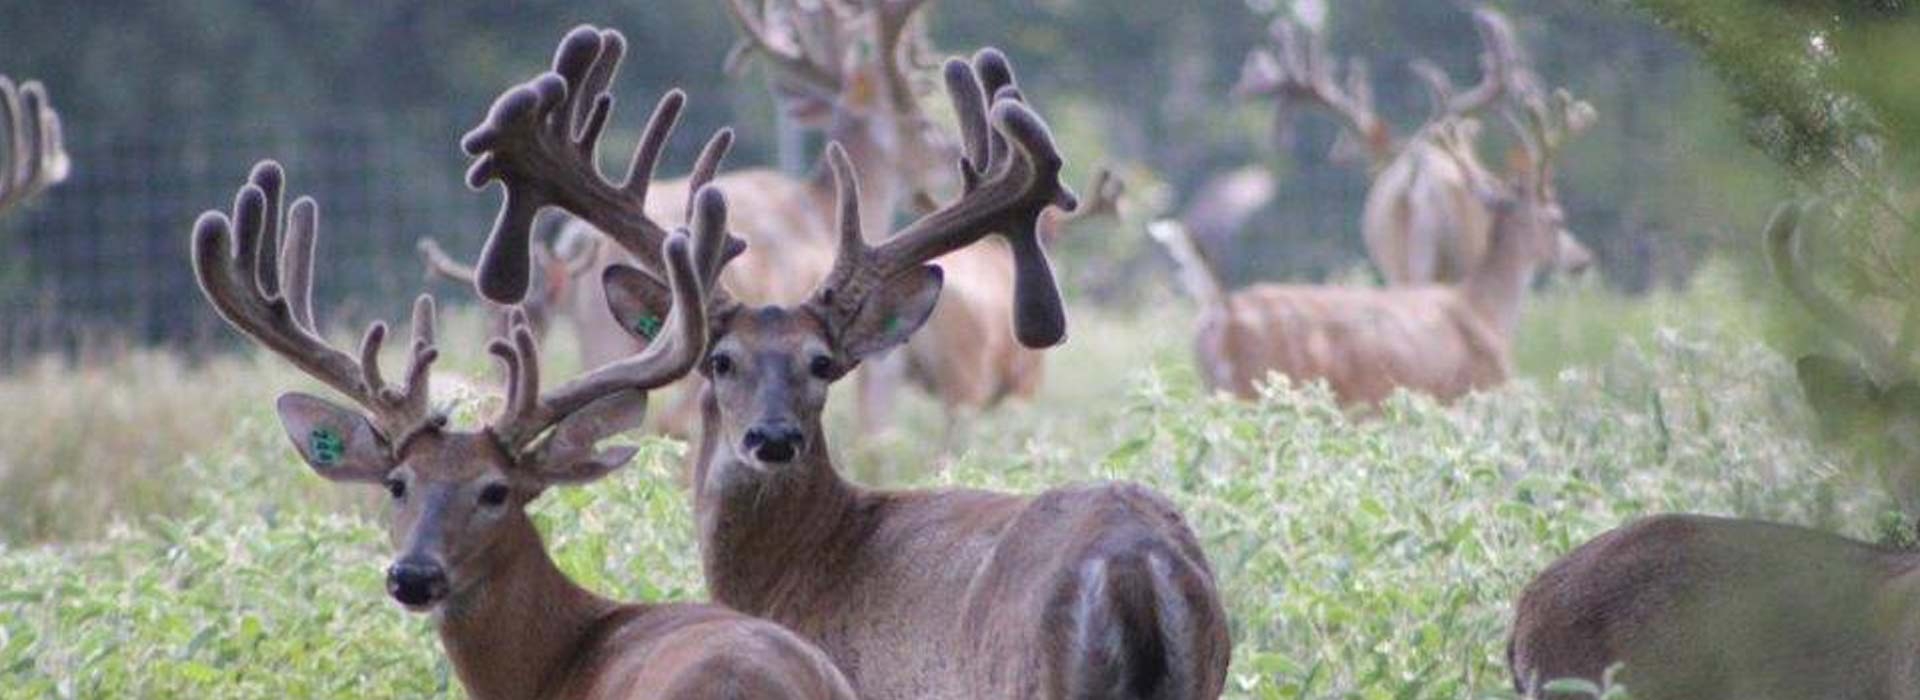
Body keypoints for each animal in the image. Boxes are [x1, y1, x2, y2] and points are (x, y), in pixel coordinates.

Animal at [1151, 90, 1585, 405]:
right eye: (1558, 218)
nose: (1582, 259)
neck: (1483, 308)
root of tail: (1221, 307)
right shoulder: (1468, 394)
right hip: (1259, 389)